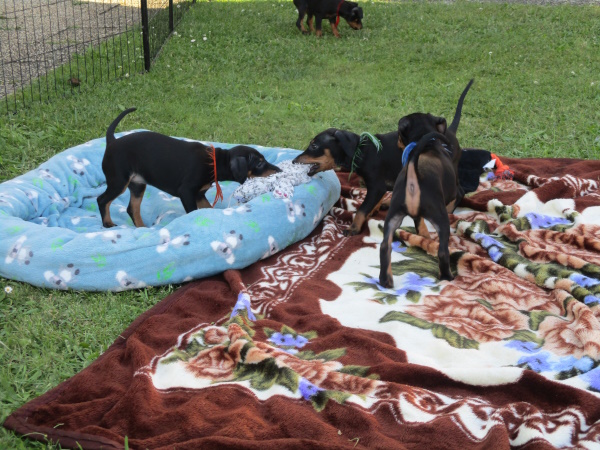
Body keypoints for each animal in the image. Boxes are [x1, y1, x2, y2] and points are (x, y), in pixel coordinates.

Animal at [98, 108, 281, 228]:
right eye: (259, 163)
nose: (280, 170)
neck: (214, 162)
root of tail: (112, 142)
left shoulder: (199, 194)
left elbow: (208, 209)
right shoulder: (186, 192)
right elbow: (193, 212)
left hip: (137, 184)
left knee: (132, 209)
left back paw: (143, 229)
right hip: (118, 181)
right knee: (102, 200)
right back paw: (108, 224)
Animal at [378, 80, 474, 287]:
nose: (397, 142)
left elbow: (419, 223)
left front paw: (423, 234)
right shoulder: (453, 189)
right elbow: (457, 196)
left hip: (393, 217)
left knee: (384, 247)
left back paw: (386, 280)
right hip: (440, 218)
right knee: (443, 251)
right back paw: (447, 277)